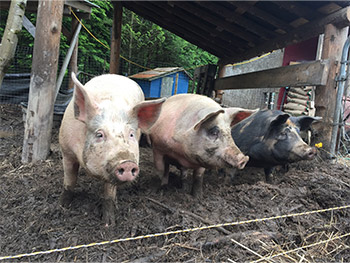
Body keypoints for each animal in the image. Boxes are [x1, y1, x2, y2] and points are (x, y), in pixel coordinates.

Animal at [59, 72, 165, 227]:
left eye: (131, 134)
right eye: (99, 134)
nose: (127, 163)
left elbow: (109, 193)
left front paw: (109, 224)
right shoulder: (66, 151)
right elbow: (69, 181)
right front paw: (63, 207)